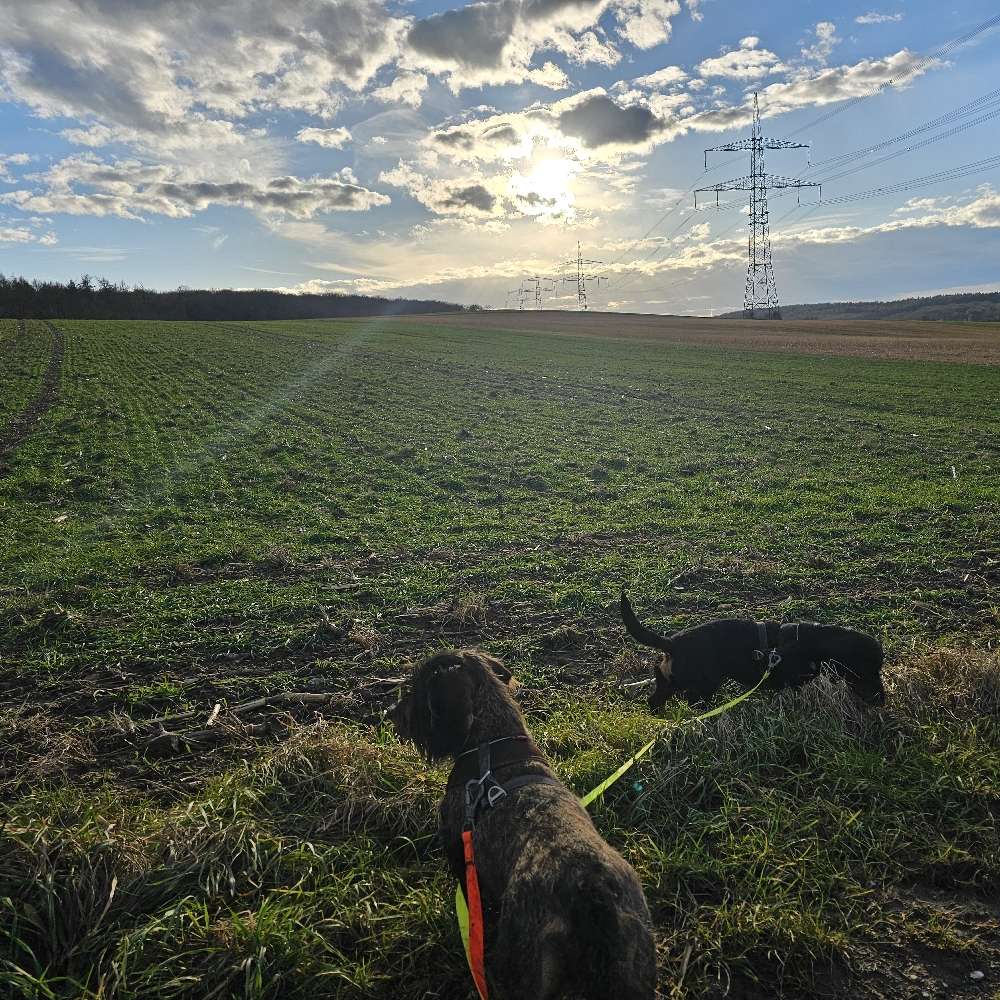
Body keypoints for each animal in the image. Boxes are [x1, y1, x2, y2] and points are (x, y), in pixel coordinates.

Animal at [390, 648, 656, 1000]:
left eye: (420, 690)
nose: (391, 712)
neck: (491, 742)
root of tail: (590, 890)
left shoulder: (458, 850)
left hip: (523, 970)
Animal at [620, 588, 888, 708]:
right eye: (869, 670)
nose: (882, 701)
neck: (815, 643)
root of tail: (673, 643)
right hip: (703, 685)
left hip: (671, 682)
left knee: (656, 699)